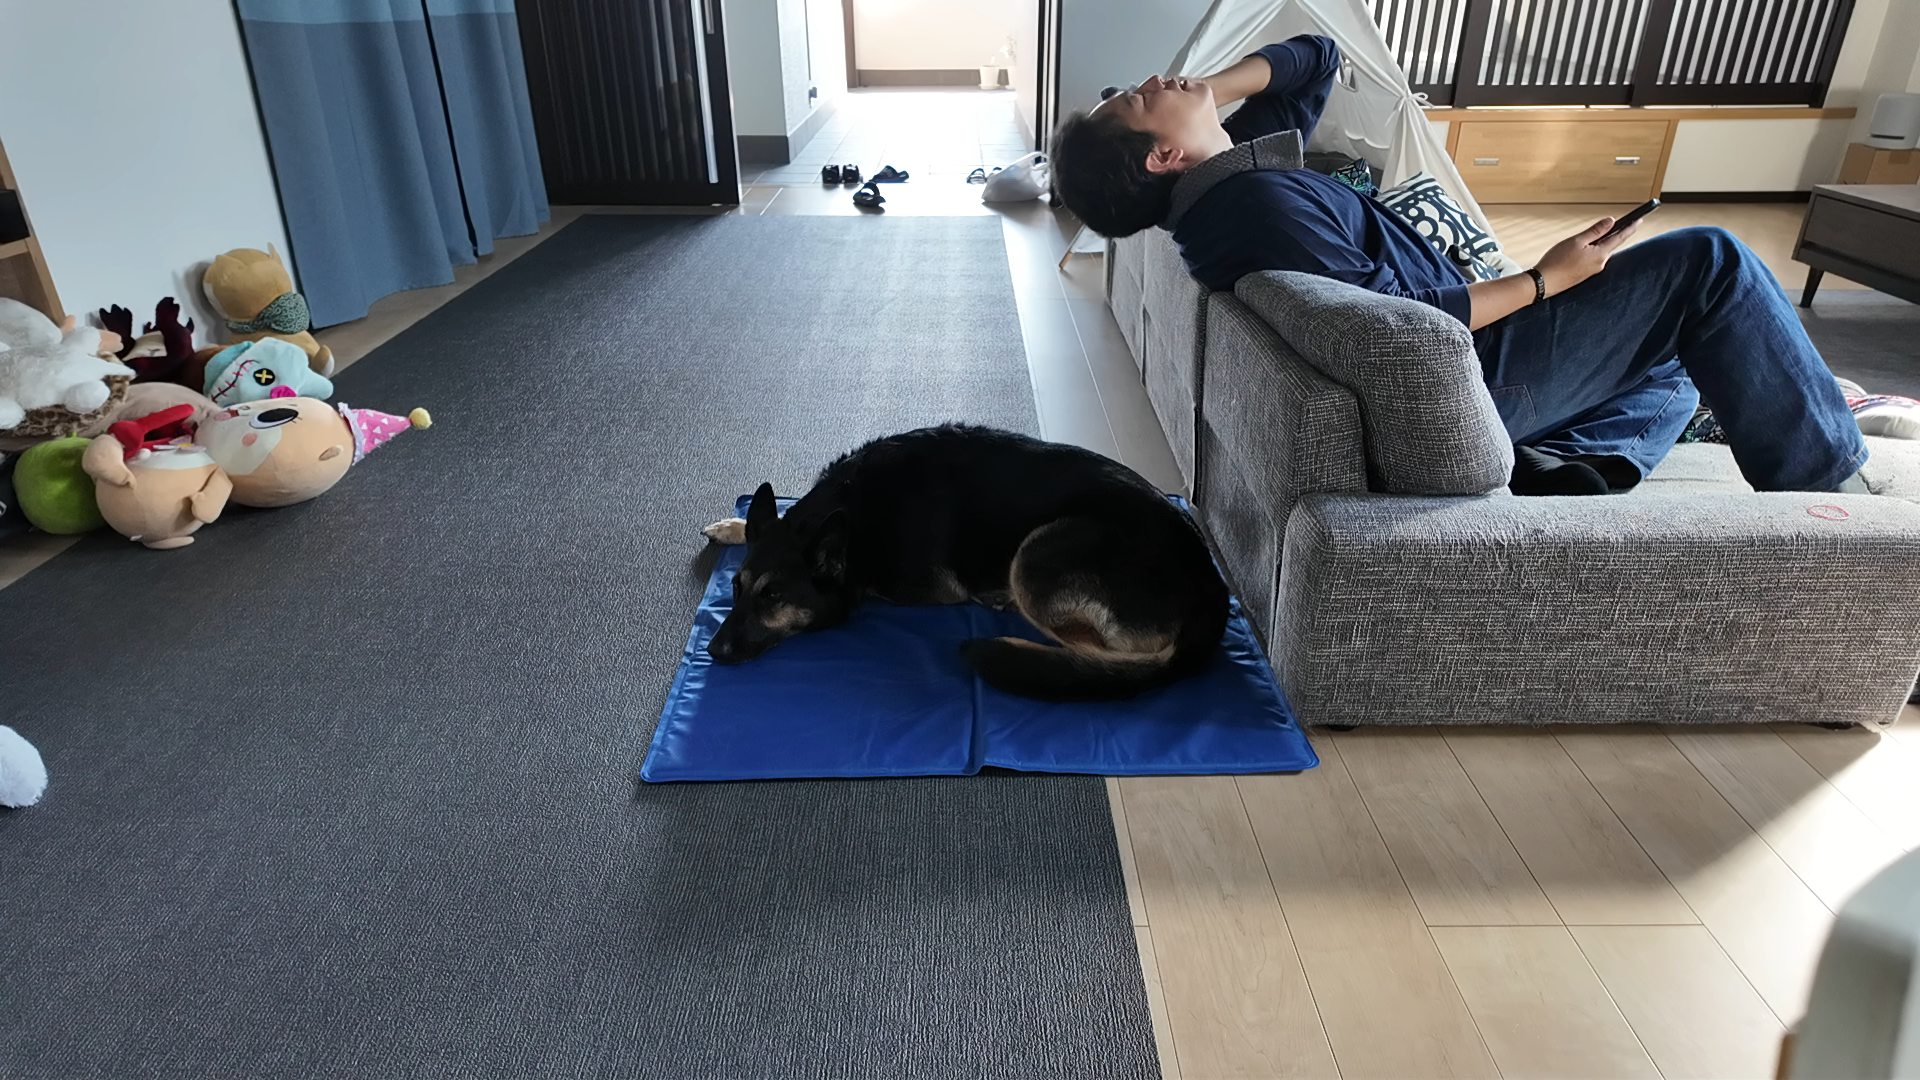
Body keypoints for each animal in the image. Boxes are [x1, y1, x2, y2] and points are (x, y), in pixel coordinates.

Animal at [701, 424, 1230, 701]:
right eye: (736, 588)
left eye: (774, 596)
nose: (712, 651)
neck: (857, 510)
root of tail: (1214, 588)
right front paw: (733, 525)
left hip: (1037, 553)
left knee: (1095, 654)